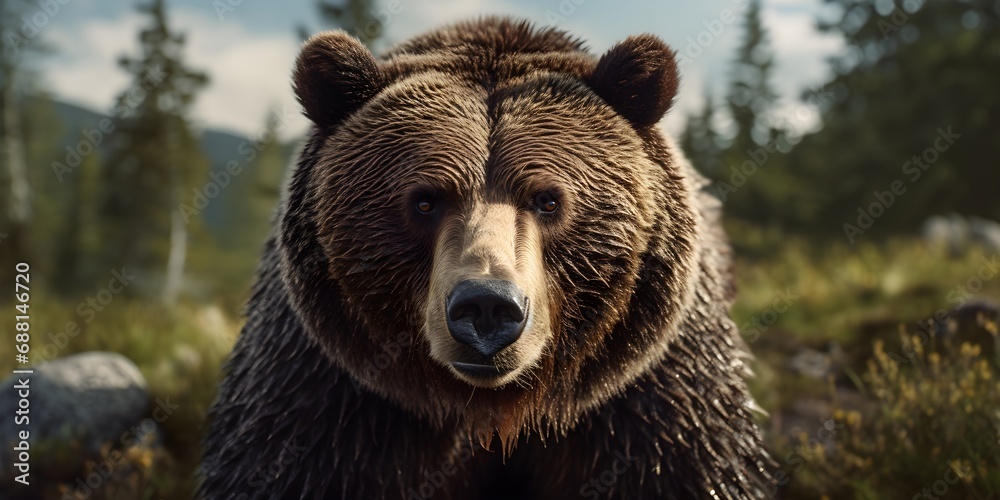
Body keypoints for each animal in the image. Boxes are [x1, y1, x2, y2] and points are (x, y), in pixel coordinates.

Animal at [200, 17, 772, 500]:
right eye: (425, 200)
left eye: (548, 199)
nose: (487, 307)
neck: (493, 411)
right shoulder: (328, 390)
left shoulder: (651, 397)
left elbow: (684, 463)